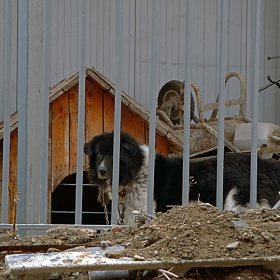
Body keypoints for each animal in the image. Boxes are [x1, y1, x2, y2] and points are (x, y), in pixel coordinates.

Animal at [84, 132, 280, 225]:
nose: (102, 170)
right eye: (99, 153)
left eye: (114, 155)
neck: (136, 169)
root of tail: (265, 164)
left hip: (235, 199)